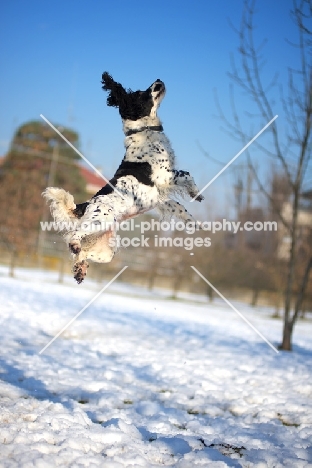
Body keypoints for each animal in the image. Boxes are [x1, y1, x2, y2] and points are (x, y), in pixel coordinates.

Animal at [42, 72, 202, 284]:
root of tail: (85, 206)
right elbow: (187, 174)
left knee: (82, 253)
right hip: (100, 220)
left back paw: (80, 269)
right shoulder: (165, 176)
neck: (143, 132)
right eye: (142, 94)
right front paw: (196, 193)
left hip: (107, 250)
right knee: (74, 236)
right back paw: (75, 247)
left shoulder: (159, 198)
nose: (158, 80)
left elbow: (179, 207)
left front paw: (194, 223)